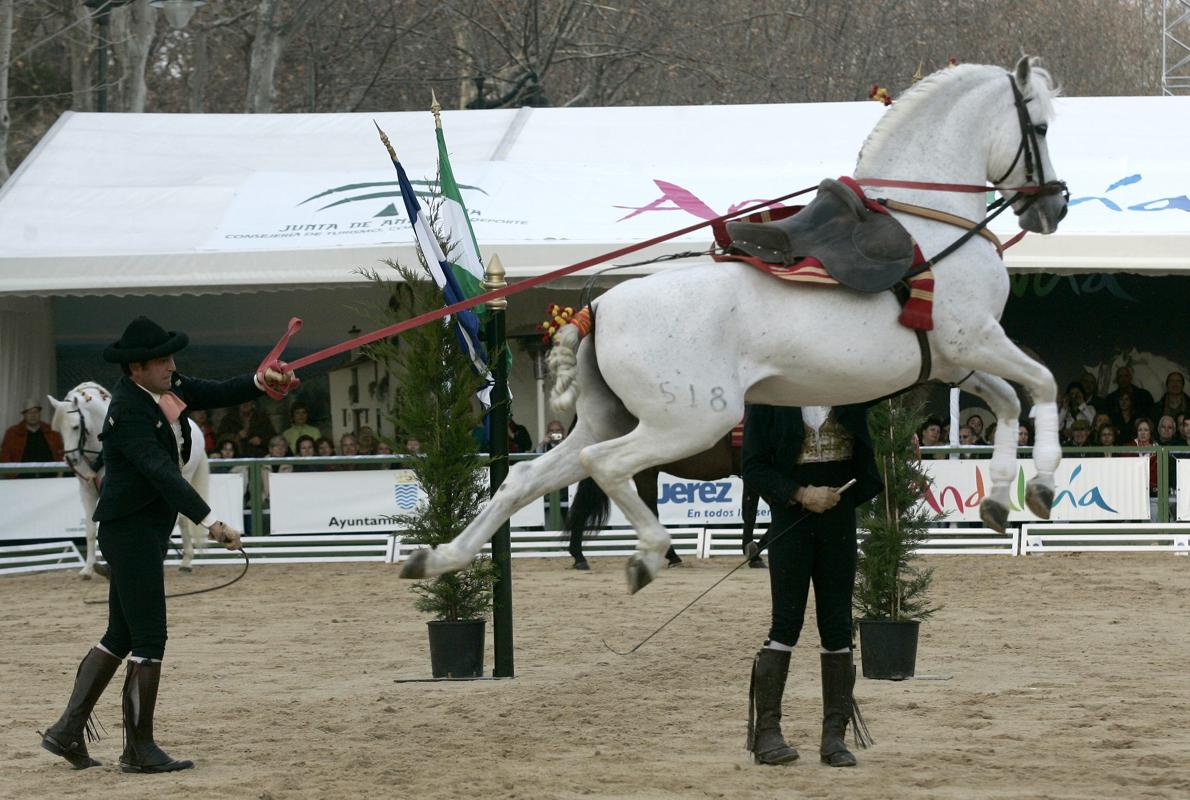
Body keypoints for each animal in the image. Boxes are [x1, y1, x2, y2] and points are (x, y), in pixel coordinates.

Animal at [47, 378, 210, 576]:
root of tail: (197, 430)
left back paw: (183, 560)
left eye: (75, 426)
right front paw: (88, 568)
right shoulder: (87, 490)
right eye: (58, 430)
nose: (71, 459)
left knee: (180, 517)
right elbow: (91, 530)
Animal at [399, 57, 1071, 592]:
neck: (927, 220)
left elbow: (1009, 402)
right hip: (686, 423)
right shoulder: (976, 339)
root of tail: (601, 307)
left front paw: (998, 499)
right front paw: (1040, 486)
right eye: (1038, 126)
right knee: (607, 467)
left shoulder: (956, 361)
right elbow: (1043, 385)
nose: (1055, 207)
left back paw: (439, 558)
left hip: (605, 418)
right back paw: (648, 555)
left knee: (524, 478)